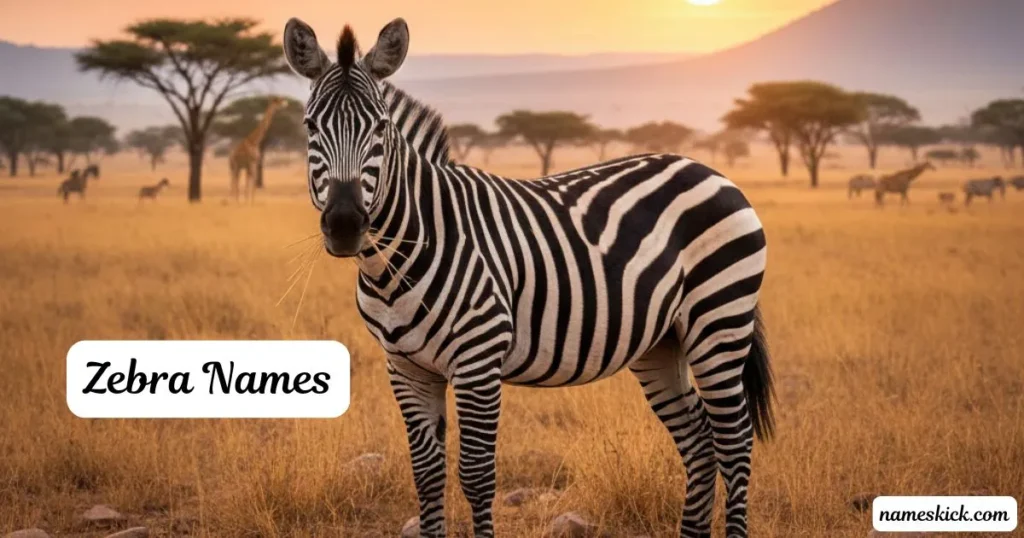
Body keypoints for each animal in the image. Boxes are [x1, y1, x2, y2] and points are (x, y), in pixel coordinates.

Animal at [283, 18, 775, 538]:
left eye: (380, 127)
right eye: (310, 126)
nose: (344, 225)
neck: (397, 262)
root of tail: (706, 168)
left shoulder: (478, 358)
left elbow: (476, 474)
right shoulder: (405, 367)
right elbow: (426, 473)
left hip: (719, 320)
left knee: (734, 441)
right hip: (662, 341)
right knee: (699, 442)